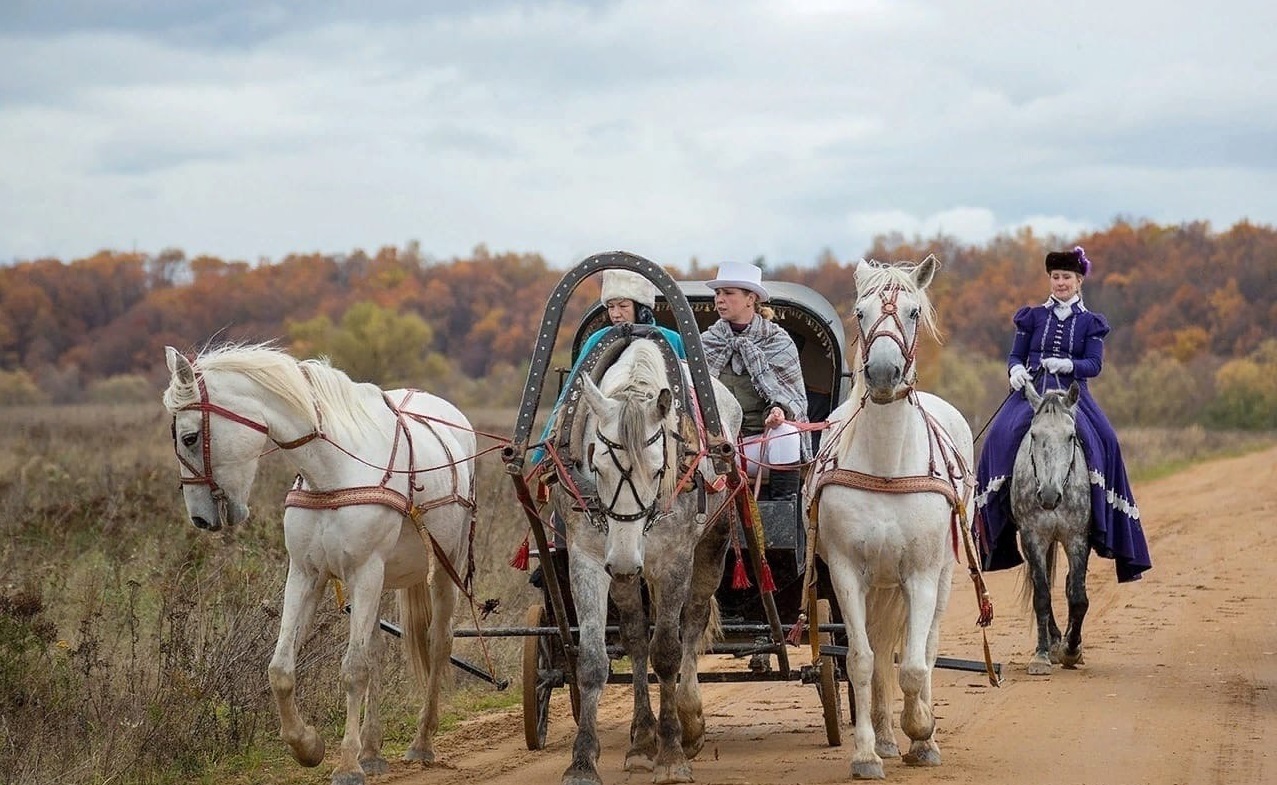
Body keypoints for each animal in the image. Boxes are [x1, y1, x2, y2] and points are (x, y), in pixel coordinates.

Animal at [160, 347, 475, 785]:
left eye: (190, 438)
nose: (200, 519)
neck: (331, 471)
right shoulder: (306, 575)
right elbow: (280, 669)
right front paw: (307, 746)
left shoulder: (365, 573)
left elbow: (354, 669)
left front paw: (346, 765)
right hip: (385, 581)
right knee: (378, 650)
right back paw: (372, 751)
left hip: (444, 569)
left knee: (438, 642)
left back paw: (421, 743)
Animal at [807, 259, 975, 781]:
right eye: (860, 313)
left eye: (913, 311)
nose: (883, 372)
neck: (885, 466)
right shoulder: (847, 574)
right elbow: (862, 661)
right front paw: (865, 753)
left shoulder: (919, 575)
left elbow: (916, 665)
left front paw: (921, 730)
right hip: (878, 585)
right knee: (881, 651)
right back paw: (882, 735)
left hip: (939, 575)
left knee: (928, 647)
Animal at [1011, 380, 1093, 673]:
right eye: (1034, 435)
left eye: (1071, 436)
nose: (1048, 496)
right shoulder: (1033, 537)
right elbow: (1042, 596)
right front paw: (1042, 655)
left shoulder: (1077, 538)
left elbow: (1078, 596)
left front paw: (1072, 650)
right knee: (1043, 582)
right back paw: (1055, 640)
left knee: (1069, 585)